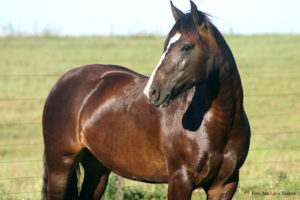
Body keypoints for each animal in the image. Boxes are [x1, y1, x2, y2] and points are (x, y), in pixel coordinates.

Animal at [42, 0, 250, 199]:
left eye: (186, 47)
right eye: (165, 46)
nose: (152, 91)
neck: (218, 123)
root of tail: (63, 81)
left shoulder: (224, 185)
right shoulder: (180, 180)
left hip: (97, 169)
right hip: (60, 167)